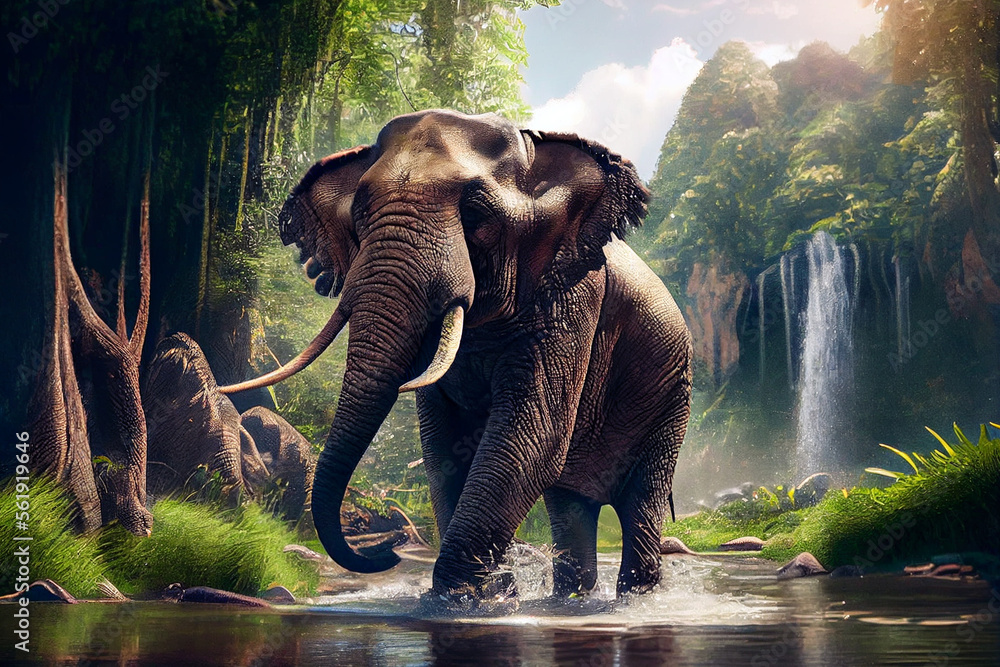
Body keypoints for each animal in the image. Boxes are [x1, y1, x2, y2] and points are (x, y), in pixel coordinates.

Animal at [221, 110, 692, 600]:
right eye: (358, 218)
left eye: (475, 215)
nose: (388, 554)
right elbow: (444, 445)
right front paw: (490, 594)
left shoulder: (573, 296)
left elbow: (531, 438)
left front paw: (460, 600)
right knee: (570, 505)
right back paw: (573, 599)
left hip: (671, 397)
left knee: (640, 502)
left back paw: (635, 597)